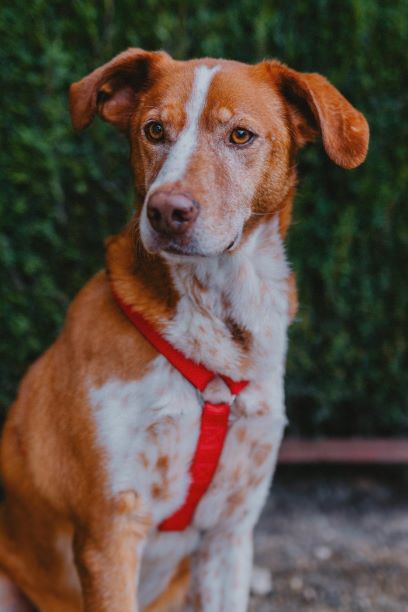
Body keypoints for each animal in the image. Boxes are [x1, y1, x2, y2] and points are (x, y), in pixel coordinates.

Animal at [0, 49, 368, 611]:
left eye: (240, 135)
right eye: (154, 130)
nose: (167, 211)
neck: (219, 326)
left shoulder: (230, 531)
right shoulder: (110, 532)